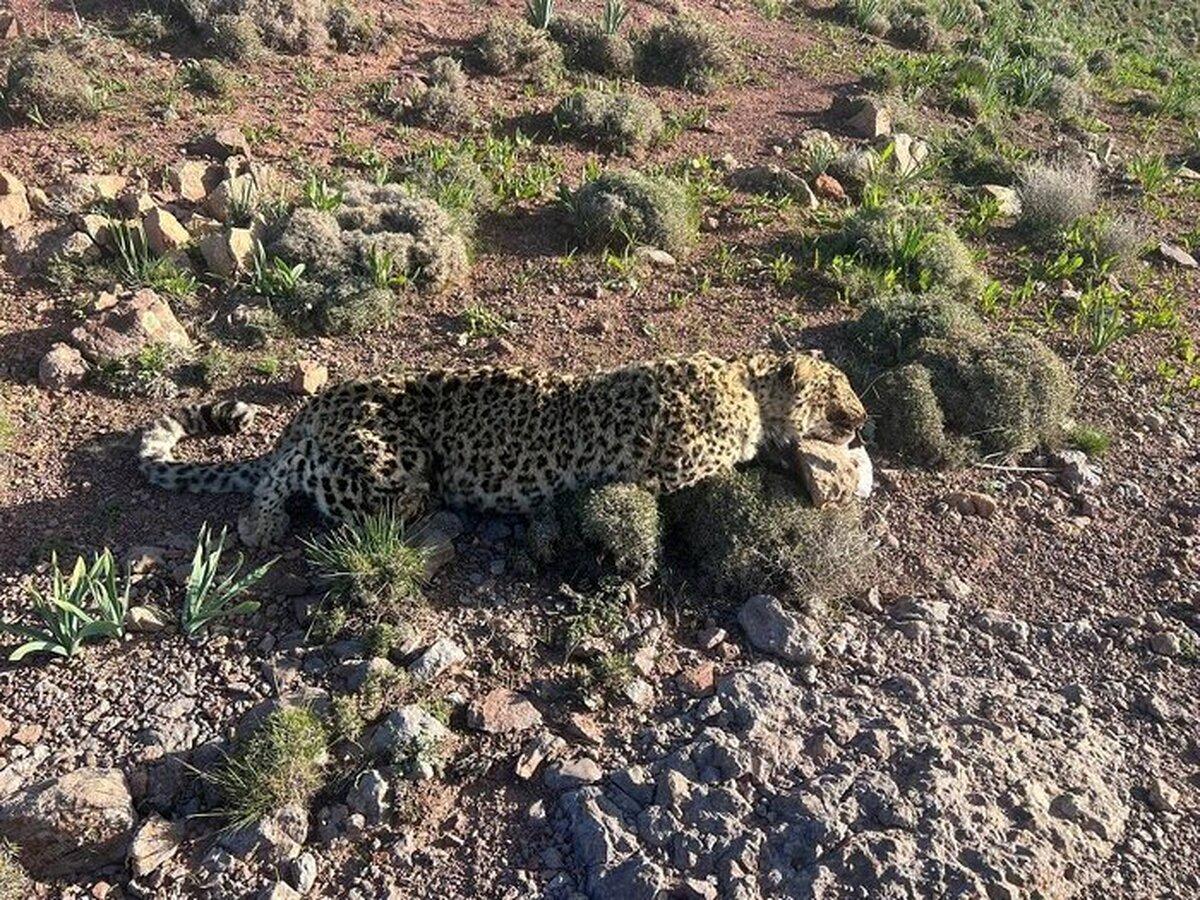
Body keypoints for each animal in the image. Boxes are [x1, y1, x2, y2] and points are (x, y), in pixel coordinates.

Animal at [140, 352, 864, 549]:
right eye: (841, 387)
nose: (861, 419)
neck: (745, 383)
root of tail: (322, 402)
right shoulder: (672, 473)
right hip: (391, 462)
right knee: (295, 474)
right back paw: (262, 524)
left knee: (283, 471)